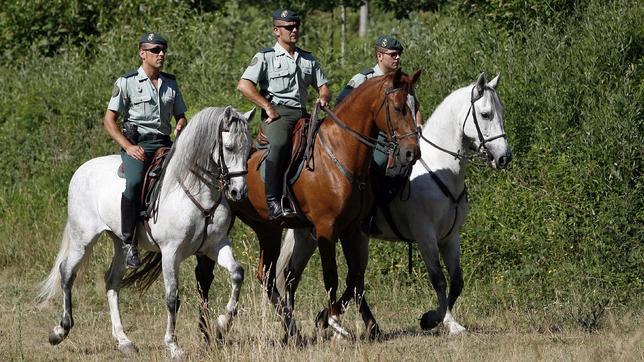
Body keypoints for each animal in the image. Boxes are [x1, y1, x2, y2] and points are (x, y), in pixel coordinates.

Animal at [36, 106, 254, 358]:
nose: (239, 192)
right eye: (229, 147)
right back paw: (60, 331)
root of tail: (82, 169)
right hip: (83, 239)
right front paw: (173, 346)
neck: (198, 191)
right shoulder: (170, 253)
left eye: (249, 148)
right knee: (67, 272)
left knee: (112, 282)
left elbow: (237, 273)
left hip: (120, 243)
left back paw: (124, 341)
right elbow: (172, 298)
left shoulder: (215, 245)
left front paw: (221, 325)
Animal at [229, 68, 420, 342]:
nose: (411, 153)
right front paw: (334, 321)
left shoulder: (352, 228)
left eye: (416, 106)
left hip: (270, 229)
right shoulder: (325, 229)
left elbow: (355, 276)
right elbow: (332, 276)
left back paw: (291, 330)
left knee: (270, 275)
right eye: (397, 108)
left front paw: (349, 321)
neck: (339, 153)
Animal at [276, 72, 512, 338]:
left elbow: (457, 281)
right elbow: (439, 279)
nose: (504, 157)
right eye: (485, 114)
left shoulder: (451, 237)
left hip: (316, 235)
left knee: (324, 277)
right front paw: (436, 320)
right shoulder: (425, 236)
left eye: (501, 112)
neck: (440, 167)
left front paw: (446, 321)